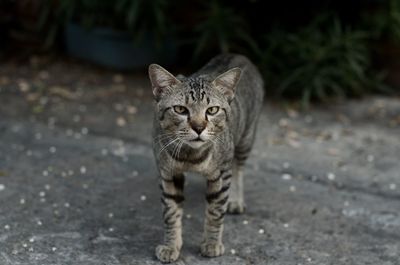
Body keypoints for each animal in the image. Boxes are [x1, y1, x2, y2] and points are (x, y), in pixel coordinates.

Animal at [148, 53, 264, 262]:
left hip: (245, 140)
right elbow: (171, 212)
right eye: (180, 109)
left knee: (238, 169)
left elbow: (215, 212)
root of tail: (238, 54)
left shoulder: (221, 173)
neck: (191, 157)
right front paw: (171, 245)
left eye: (212, 110)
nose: (199, 127)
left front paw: (211, 243)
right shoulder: (168, 173)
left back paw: (235, 200)